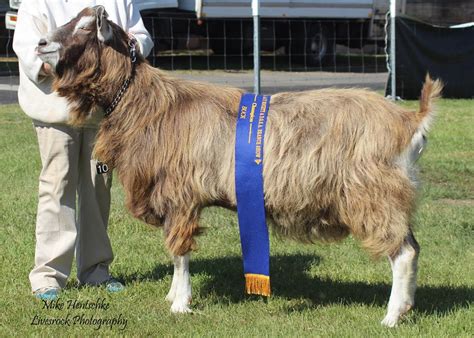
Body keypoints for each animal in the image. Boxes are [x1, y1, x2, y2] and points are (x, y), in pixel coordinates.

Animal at [35, 5, 442, 328]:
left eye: (85, 26)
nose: (40, 44)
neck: (151, 105)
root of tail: (410, 121)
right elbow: (175, 251)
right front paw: (172, 296)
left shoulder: (180, 194)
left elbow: (179, 250)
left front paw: (180, 304)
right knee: (413, 246)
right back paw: (406, 308)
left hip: (374, 195)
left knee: (403, 252)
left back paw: (392, 316)